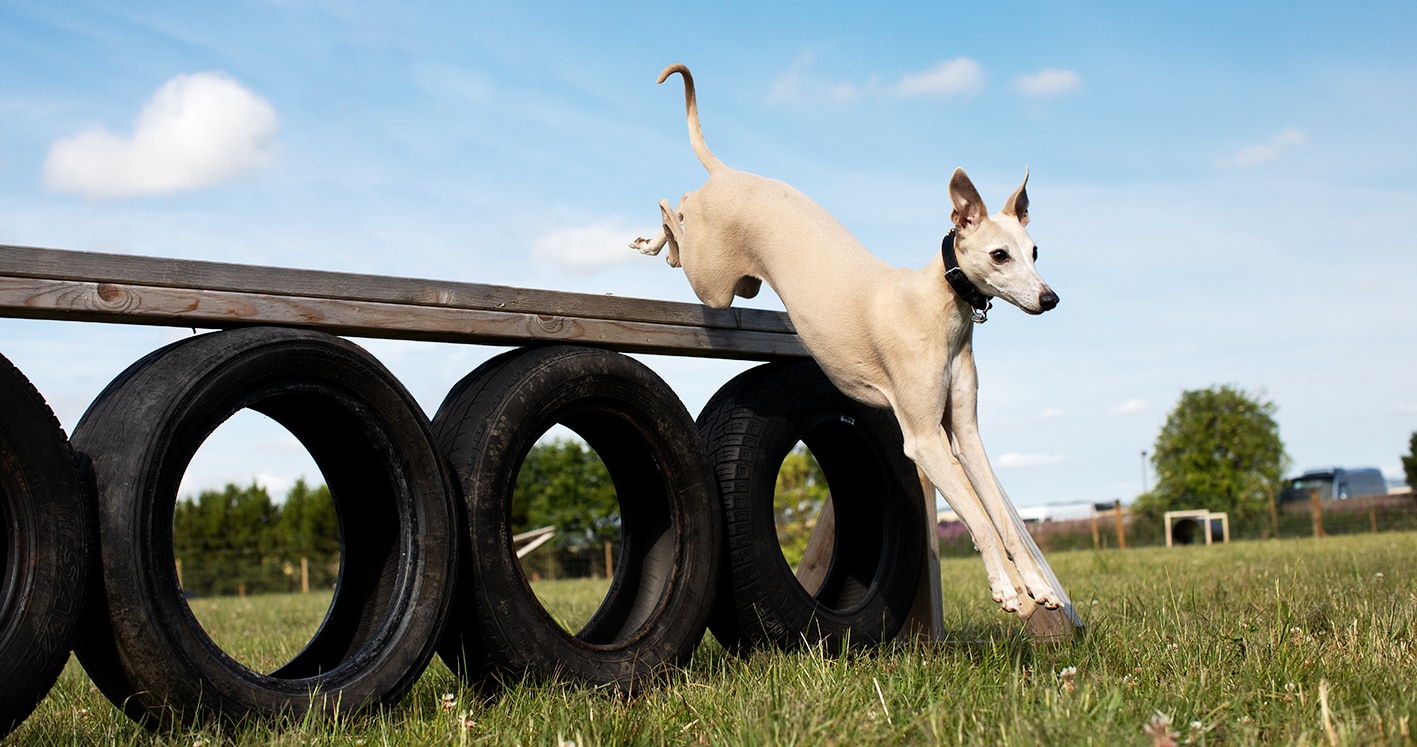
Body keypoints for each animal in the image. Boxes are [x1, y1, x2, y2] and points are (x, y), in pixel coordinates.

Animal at [631, 62, 1065, 615]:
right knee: (676, 208)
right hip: (713, 283)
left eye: (1035, 251)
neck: (939, 306)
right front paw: (1007, 589)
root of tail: (729, 174)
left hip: (732, 282)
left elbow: (1004, 519)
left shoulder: (965, 435)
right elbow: (980, 518)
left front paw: (1036, 585)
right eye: (999, 255)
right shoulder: (924, 441)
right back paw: (656, 236)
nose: (1050, 298)